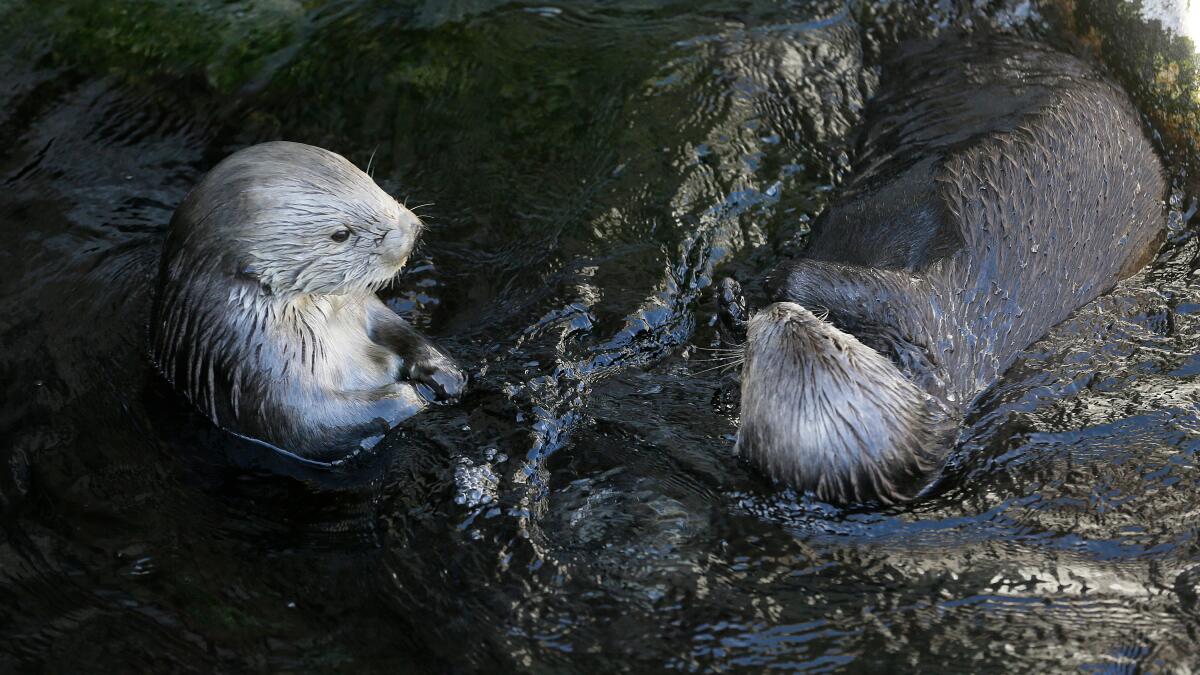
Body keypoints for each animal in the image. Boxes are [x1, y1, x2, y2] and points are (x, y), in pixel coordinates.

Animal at [151, 141, 465, 463]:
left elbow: (398, 329)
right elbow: (314, 426)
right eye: (341, 234)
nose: (413, 231)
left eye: (372, 183)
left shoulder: (364, 306)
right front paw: (416, 394)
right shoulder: (261, 373)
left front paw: (444, 372)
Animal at [736, 35, 1166, 504]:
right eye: (754, 370)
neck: (931, 361)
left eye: (836, 343)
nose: (778, 314)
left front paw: (760, 286)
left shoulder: (911, 313)